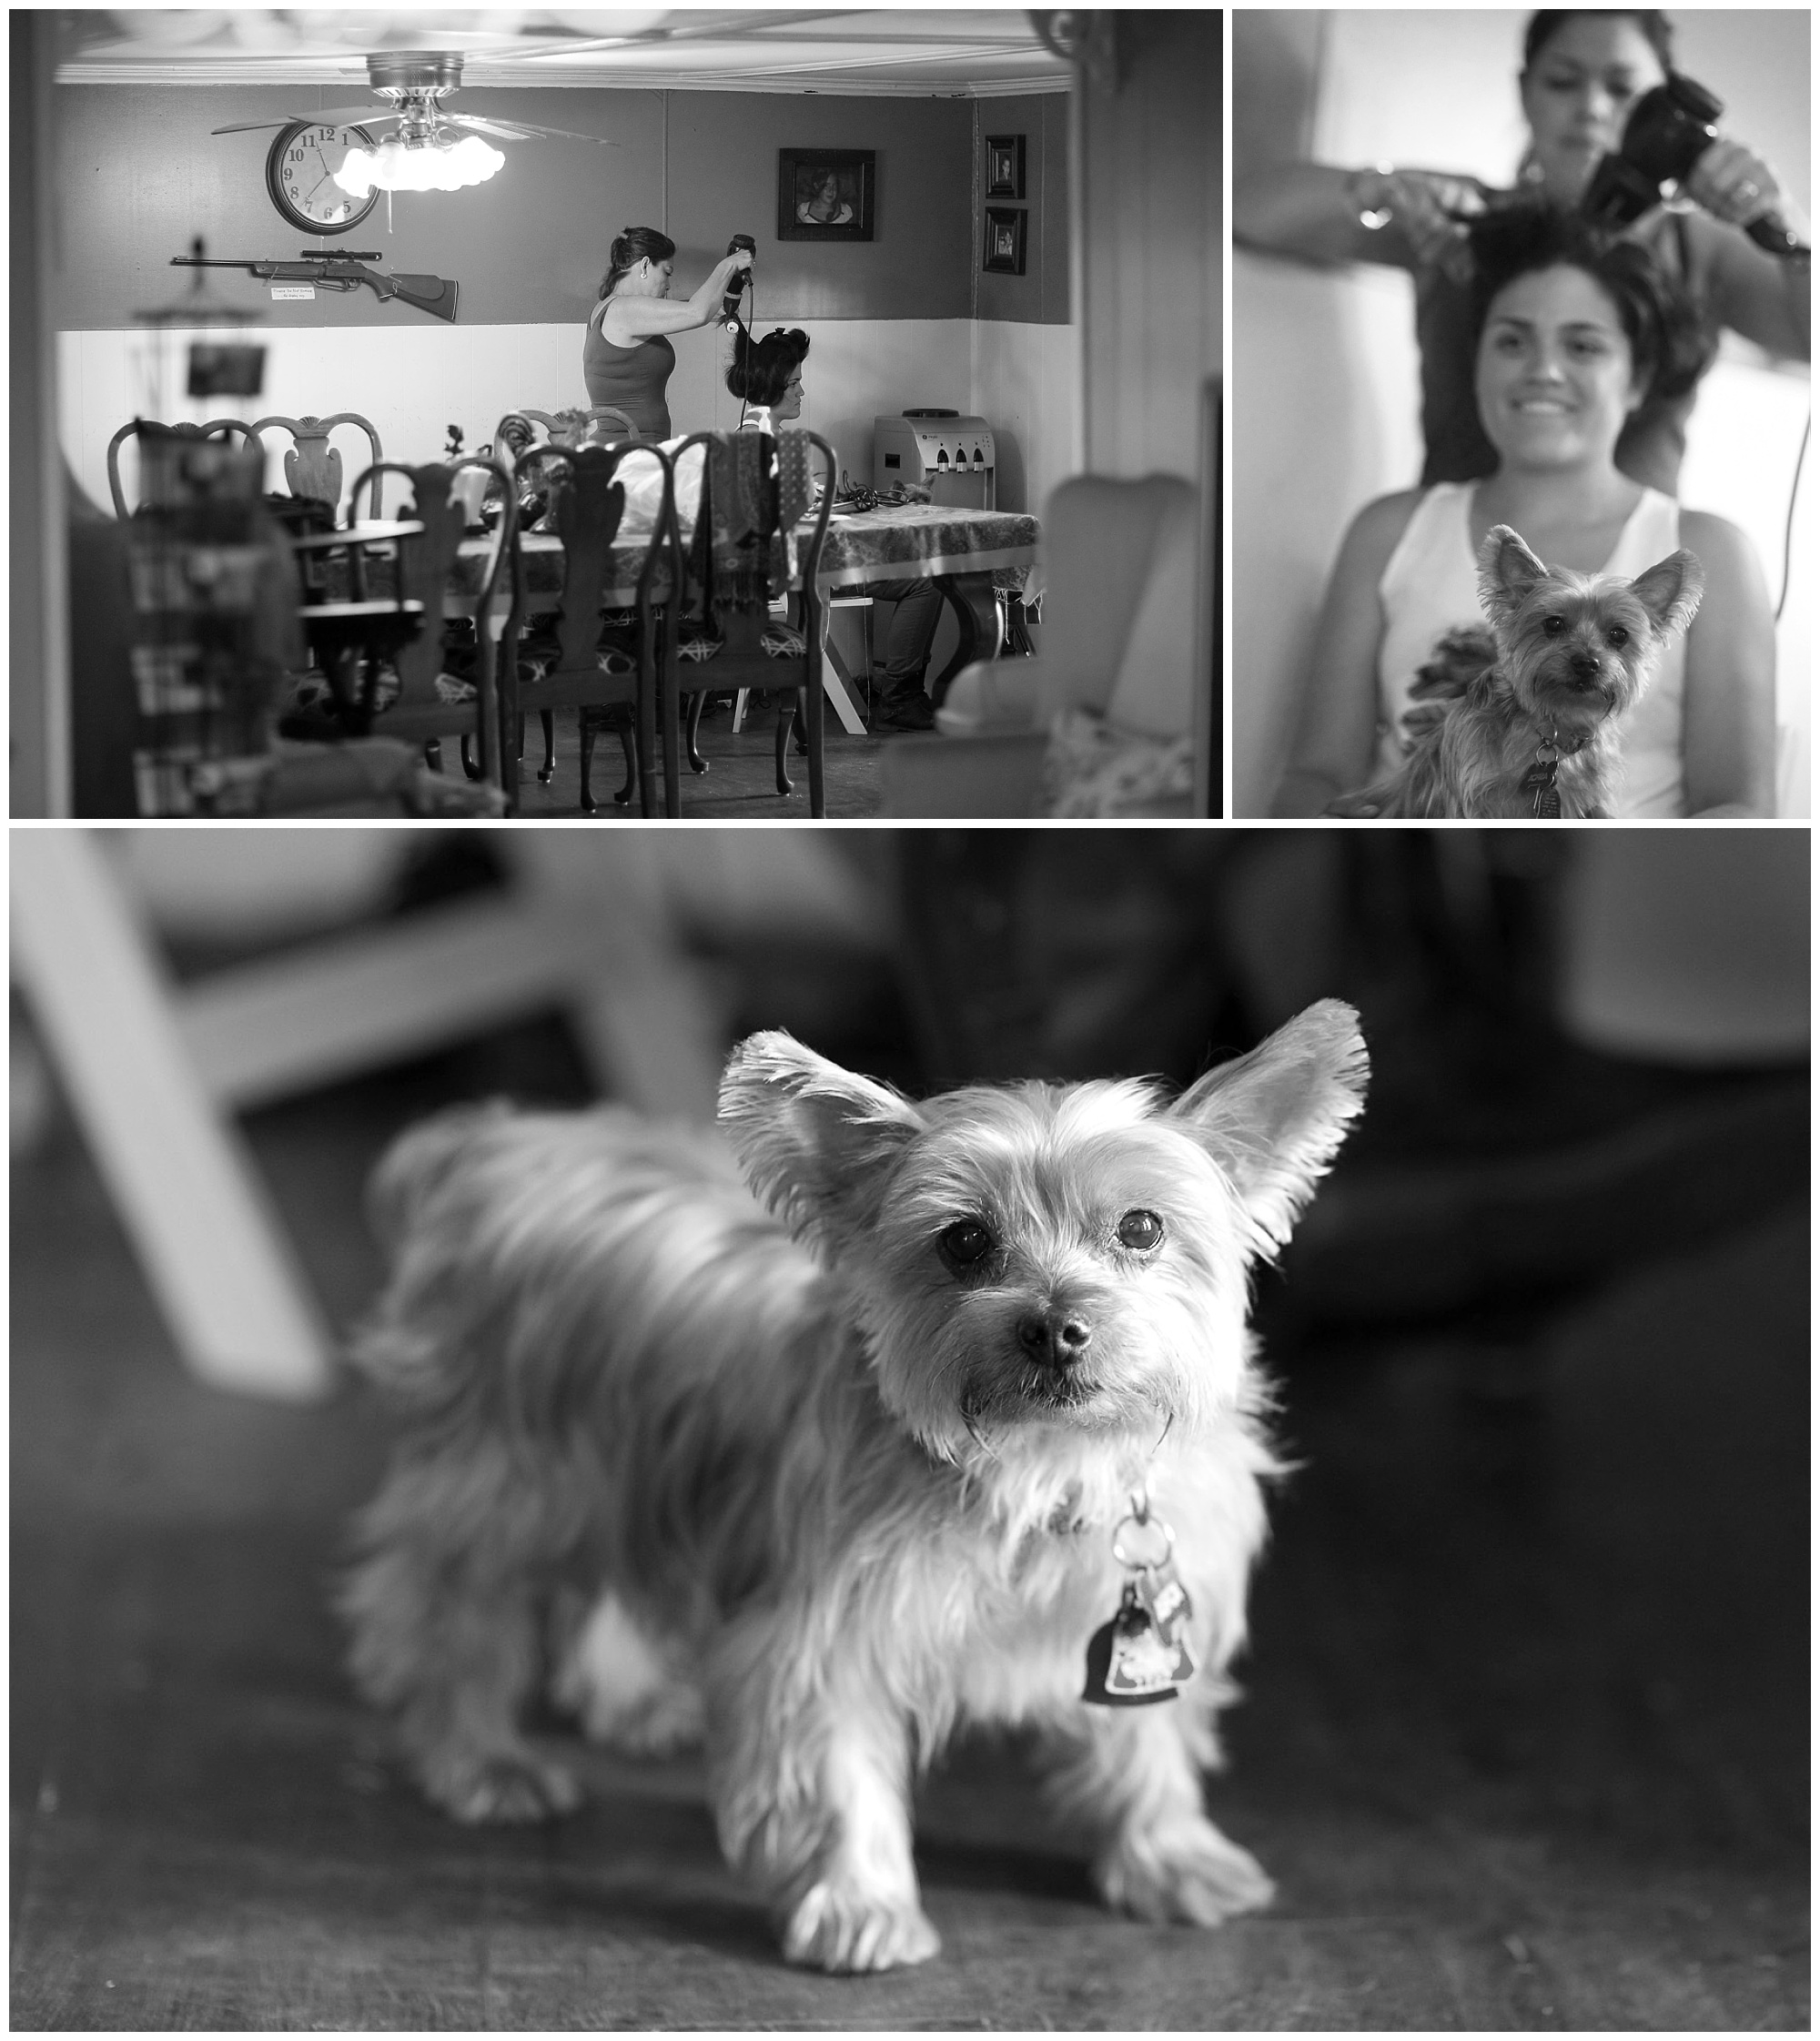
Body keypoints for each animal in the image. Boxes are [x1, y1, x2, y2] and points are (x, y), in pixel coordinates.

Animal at [339, 1012, 1362, 1967]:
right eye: (963, 1241)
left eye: (1141, 1227)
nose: (1054, 1327)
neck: (1039, 1464)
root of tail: (493, 1139)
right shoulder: (822, 1634)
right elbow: (839, 1777)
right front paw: (860, 1905)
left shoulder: (1147, 1607)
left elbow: (1145, 1741)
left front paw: (1169, 1856)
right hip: (509, 1471)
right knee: (446, 1609)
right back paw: (480, 1758)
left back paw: (627, 1701)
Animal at [1321, 522, 1705, 816]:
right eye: (1553, 624)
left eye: (1619, 635)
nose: (1586, 663)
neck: (1552, 728)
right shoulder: (1468, 796)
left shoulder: (1584, 802)